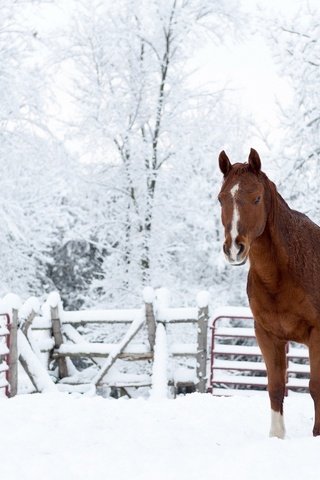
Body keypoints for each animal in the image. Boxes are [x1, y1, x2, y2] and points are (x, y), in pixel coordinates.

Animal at [219, 150, 320, 438]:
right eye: (221, 198)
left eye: (257, 198)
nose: (234, 248)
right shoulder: (267, 334)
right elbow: (275, 388)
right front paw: (276, 436)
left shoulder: (317, 334)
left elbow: (315, 386)